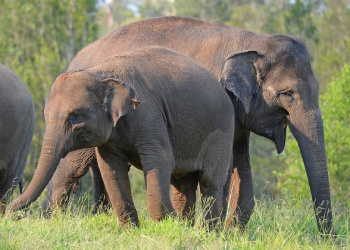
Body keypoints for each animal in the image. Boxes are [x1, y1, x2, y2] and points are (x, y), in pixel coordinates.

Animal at [6, 46, 235, 228]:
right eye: (45, 116)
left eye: (76, 117)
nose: (10, 214)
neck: (100, 72)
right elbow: (111, 169)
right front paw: (132, 229)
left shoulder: (149, 114)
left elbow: (160, 161)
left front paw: (169, 224)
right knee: (182, 181)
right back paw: (189, 225)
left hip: (222, 133)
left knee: (210, 181)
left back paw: (207, 231)